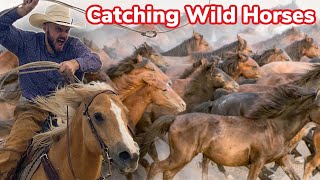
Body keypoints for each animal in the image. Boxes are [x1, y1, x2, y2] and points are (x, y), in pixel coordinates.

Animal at [141, 85, 320, 180]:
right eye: (319, 105)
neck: (276, 128)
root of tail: (174, 119)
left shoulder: (282, 159)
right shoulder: (257, 162)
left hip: (182, 157)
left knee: (167, 173)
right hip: (182, 156)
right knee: (156, 167)